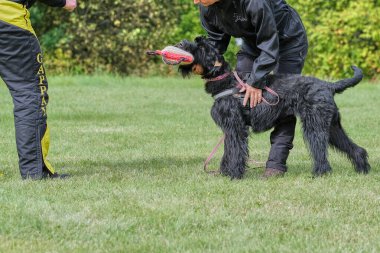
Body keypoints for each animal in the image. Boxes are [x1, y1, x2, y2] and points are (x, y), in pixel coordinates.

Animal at [177, 36, 370, 179]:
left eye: (201, 47)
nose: (180, 44)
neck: (225, 80)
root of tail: (328, 85)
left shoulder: (236, 128)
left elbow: (235, 151)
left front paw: (234, 174)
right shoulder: (229, 129)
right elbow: (228, 150)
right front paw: (225, 172)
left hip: (315, 126)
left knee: (320, 150)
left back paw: (320, 173)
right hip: (332, 126)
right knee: (353, 147)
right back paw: (363, 169)